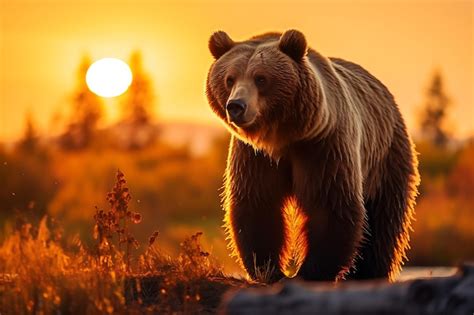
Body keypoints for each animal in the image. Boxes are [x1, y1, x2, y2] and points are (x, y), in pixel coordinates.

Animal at [206, 30, 420, 284]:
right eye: (229, 79)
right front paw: (271, 271)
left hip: (386, 156)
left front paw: (309, 272)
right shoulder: (255, 156)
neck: (282, 138)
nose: (236, 106)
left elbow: (329, 204)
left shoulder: (322, 146)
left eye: (261, 78)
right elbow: (258, 204)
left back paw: (368, 273)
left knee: (384, 220)